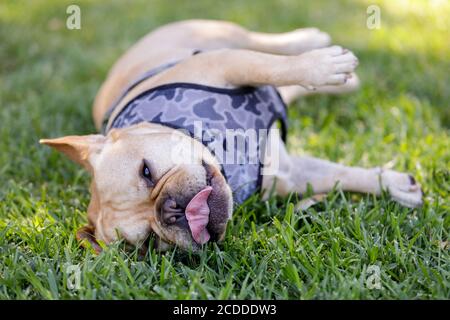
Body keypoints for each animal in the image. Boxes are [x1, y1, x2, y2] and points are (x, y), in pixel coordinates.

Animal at [40, 19, 424, 252]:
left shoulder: (225, 65)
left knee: (268, 45)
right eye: (150, 241)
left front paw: (321, 66)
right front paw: (395, 186)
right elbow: (339, 175)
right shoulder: (290, 177)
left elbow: (270, 66)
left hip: (217, 36)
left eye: (146, 172)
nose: (172, 209)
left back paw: (315, 44)